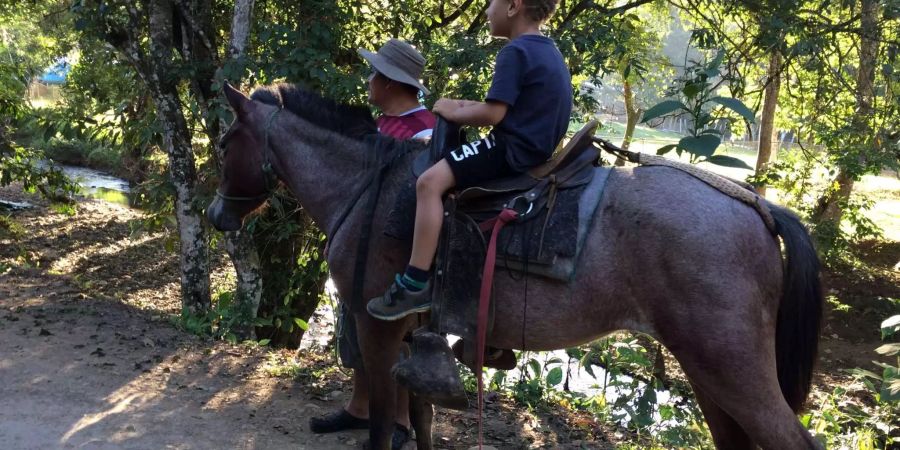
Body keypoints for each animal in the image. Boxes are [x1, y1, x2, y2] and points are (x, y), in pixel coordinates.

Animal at [209, 82, 824, 448]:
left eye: (223, 143)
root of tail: (759, 206)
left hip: (731, 367)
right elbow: (421, 417)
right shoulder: (414, 334)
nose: (215, 214)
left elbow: (385, 421)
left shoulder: (375, 325)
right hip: (706, 369)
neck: (368, 187)